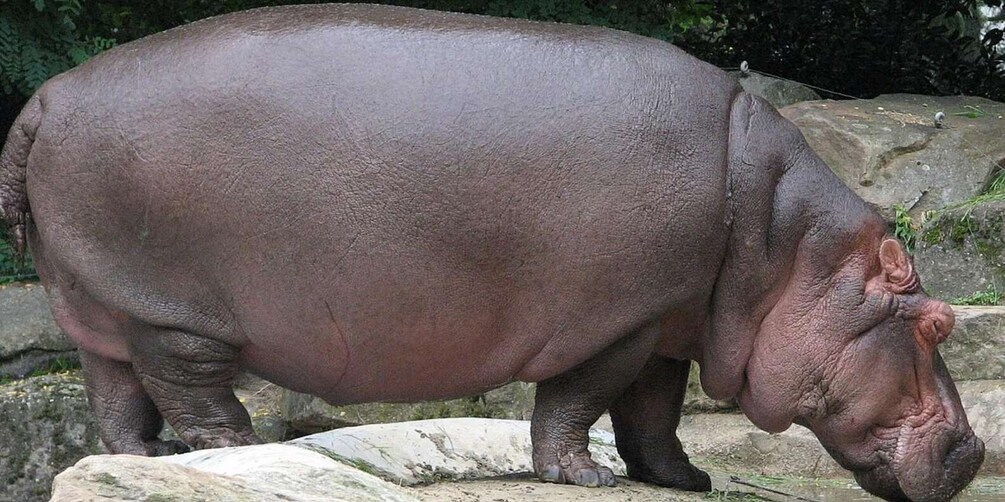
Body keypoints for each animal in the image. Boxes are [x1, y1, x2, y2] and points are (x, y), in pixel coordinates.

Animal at [0, 4, 984, 501]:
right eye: (936, 322)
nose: (975, 453)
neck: (787, 247)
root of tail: (45, 98)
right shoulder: (615, 320)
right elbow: (580, 400)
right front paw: (585, 478)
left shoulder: (670, 317)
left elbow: (654, 411)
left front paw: (686, 481)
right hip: (172, 309)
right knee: (187, 385)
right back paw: (228, 450)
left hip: (98, 303)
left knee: (114, 396)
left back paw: (152, 461)